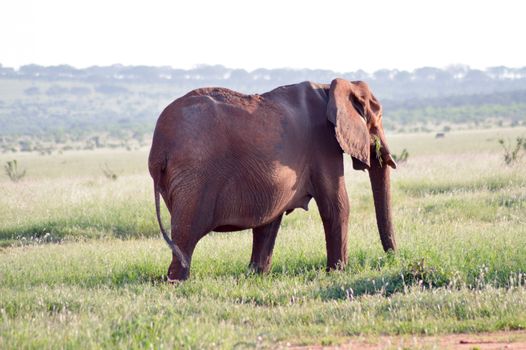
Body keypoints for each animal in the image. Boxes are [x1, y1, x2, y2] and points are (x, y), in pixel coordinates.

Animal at [147, 78, 396, 282]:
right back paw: (177, 282)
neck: (330, 89)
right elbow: (337, 205)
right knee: (186, 233)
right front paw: (337, 273)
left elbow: (270, 219)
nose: (391, 259)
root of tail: (159, 146)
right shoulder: (323, 143)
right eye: (378, 118)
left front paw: (256, 276)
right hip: (195, 176)